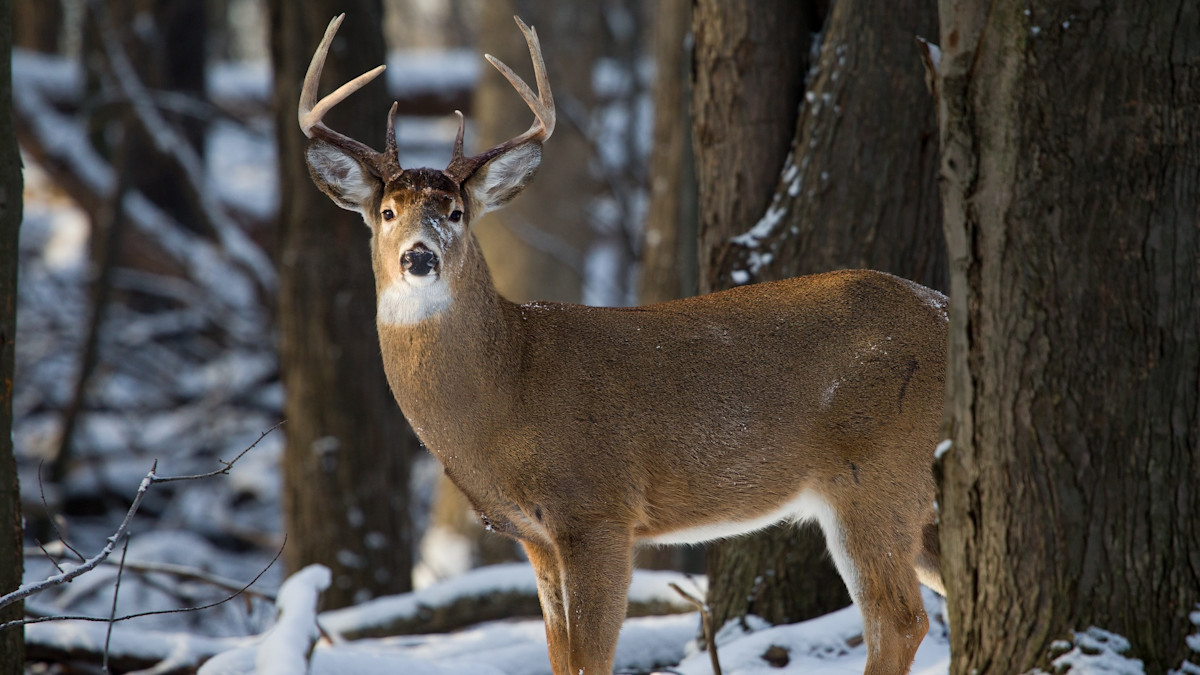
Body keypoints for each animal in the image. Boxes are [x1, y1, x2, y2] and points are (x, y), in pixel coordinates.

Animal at [299, 14, 948, 675]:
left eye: (456, 212)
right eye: (386, 211)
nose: (419, 257)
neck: (507, 386)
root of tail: (947, 309)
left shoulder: (598, 509)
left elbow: (592, 658)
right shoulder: (537, 537)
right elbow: (562, 658)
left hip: (877, 471)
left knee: (899, 620)